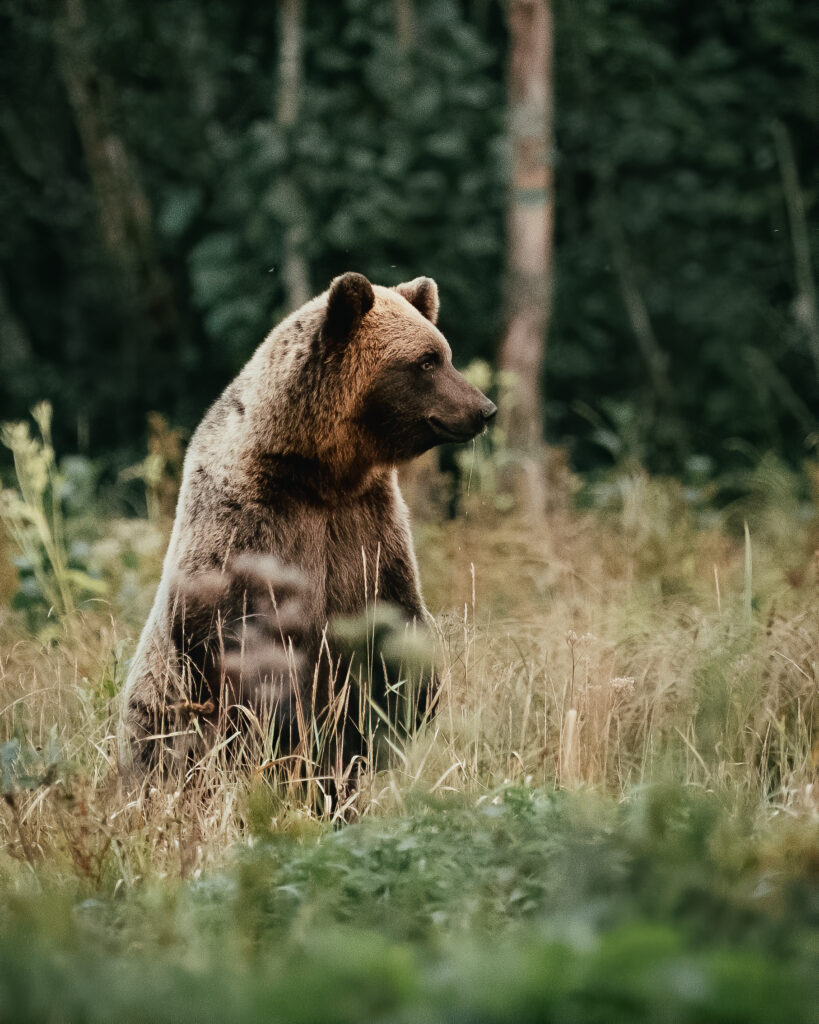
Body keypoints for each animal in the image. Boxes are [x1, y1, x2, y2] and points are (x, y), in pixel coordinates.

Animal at [120, 272, 496, 778]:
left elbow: (396, 617)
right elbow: (226, 633)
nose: (484, 409)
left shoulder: (368, 524)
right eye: (426, 361)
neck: (320, 474)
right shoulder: (247, 524)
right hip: (158, 725)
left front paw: (410, 702)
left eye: (444, 353)